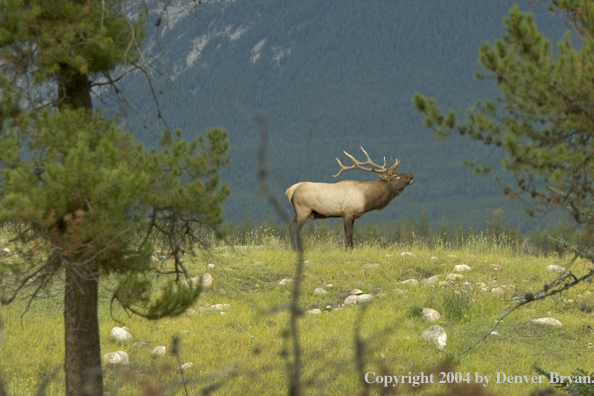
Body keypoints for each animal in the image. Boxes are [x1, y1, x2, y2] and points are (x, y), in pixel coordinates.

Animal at [286, 147, 414, 249]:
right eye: (396, 176)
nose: (411, 175)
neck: (366, 197)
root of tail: (290, 191)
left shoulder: (354, 216)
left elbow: (352, 233)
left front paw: (351, 249)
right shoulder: (347, 212)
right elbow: (347, 233)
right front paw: (346, 249)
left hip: (299, 211)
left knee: (291, 225)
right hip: (303, 209)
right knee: (294, 227)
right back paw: (295, 249)